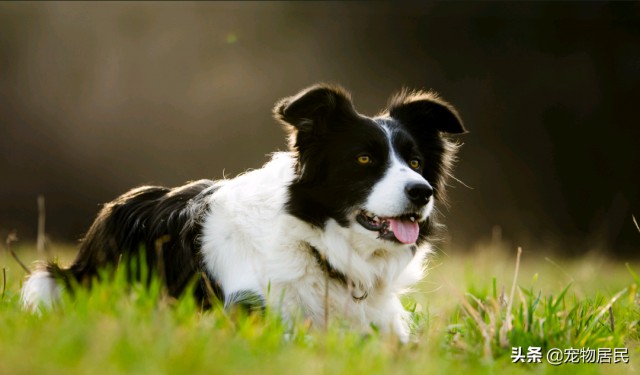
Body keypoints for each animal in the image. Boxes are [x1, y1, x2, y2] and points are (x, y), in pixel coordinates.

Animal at [21, 83, 464, 342]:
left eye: (417, 162)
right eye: (364, 159)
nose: (421, 192)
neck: (316, 244)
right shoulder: (256, 314)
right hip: (56, 283)